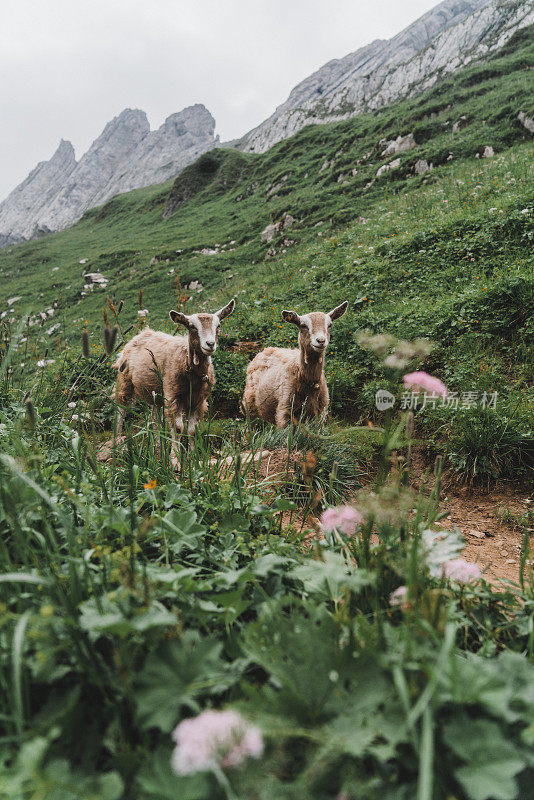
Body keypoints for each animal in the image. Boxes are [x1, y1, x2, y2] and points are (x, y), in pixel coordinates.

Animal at [112, 300, 236, 450]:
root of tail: (142, 333)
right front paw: (175, 455)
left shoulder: (198, 400)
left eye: (218, 326)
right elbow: (178, 428)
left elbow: (192, 430)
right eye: (192, 327)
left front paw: (192, 454)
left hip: (155, 392)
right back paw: (118, 441)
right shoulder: (172, 396)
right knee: (120, 408)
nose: (210, 344)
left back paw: (157, 445)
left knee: (155, 417)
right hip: (124, 380)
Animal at [242, 300, 348, 428]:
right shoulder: (285, 411)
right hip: (250, 408)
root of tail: (265, 350)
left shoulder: (321, 412)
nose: (321, 341)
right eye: (303, 326)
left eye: (330, 325)